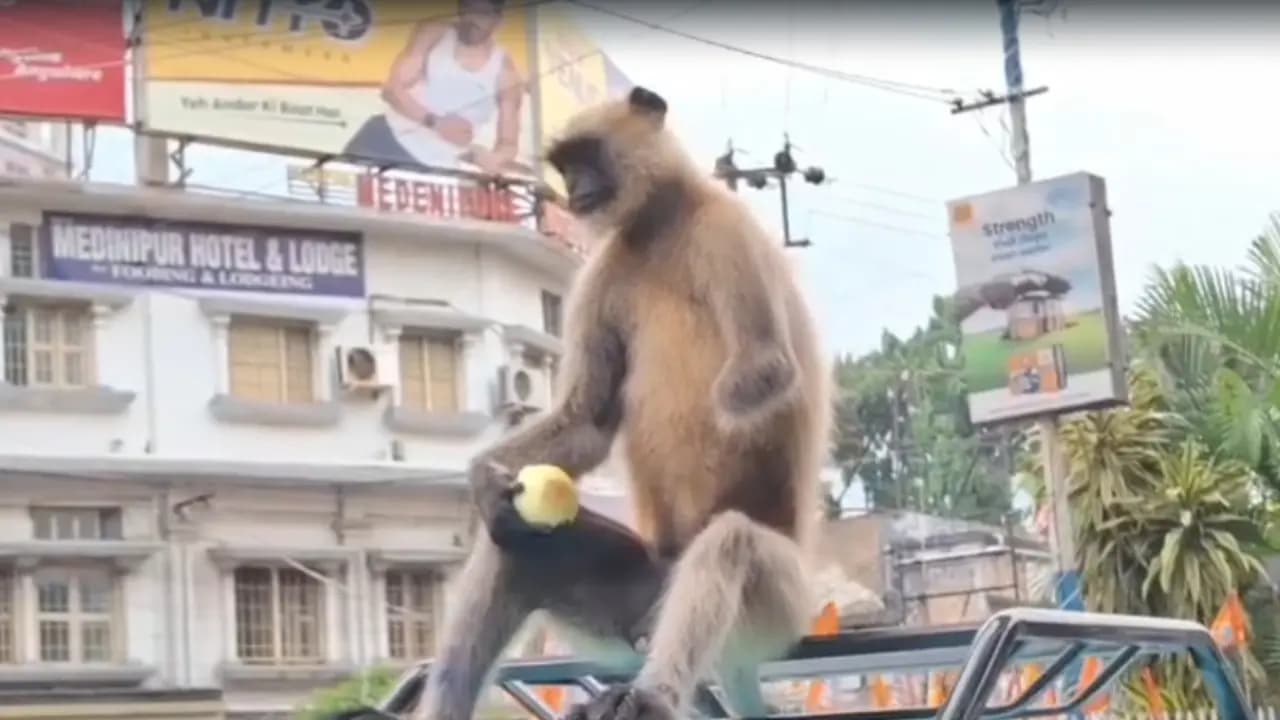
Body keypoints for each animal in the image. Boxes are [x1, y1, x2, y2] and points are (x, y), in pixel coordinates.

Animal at [412, 85, 832, 720]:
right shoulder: (605, 268)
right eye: (565, 165)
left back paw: (651, 695)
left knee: (730, 543)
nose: (575, 188)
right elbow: (589, 422)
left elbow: (766, 371)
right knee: (516, 546)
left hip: (779, 604)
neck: (658, 224)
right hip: (640, 595)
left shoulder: (724, 229)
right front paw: (484, 479)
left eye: (587, 155)